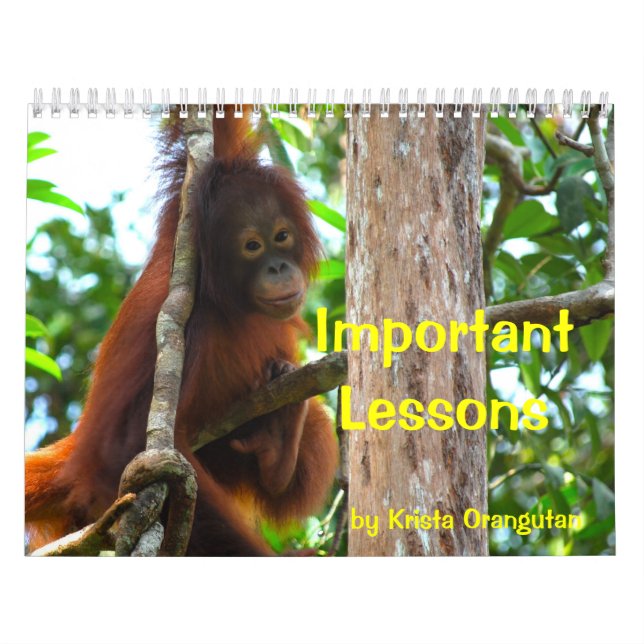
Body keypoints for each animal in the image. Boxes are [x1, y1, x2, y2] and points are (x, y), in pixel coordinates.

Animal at [25, 106, 339, 555]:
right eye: (253, 246)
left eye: (282, 236)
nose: (278, 268)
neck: (219, 295)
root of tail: (72, 459)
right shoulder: (187, 330)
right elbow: (130, 445)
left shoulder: (187, 208)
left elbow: (218, 123)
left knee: (310, 418)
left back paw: (279, 443)